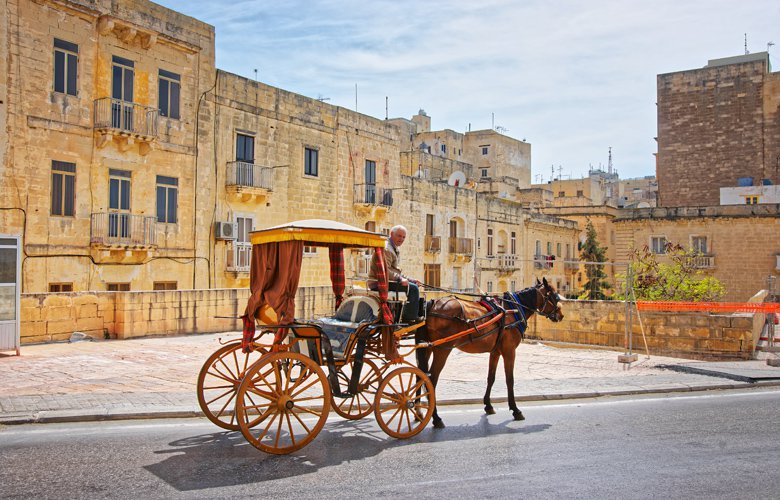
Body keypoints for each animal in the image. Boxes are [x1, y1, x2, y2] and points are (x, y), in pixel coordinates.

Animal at [418, 276, 564, 428]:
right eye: (554, 296)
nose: (561, 314)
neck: (513, 309)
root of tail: (432, 305)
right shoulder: (509, 351)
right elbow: (510, 379)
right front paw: (515, 410)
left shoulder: (495, 352)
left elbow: (491, 377)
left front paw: (488, 405)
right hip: (442, 350)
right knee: (431, 380)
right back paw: (436, 417)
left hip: (427, 347)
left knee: (420, 376)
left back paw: (421, 414)